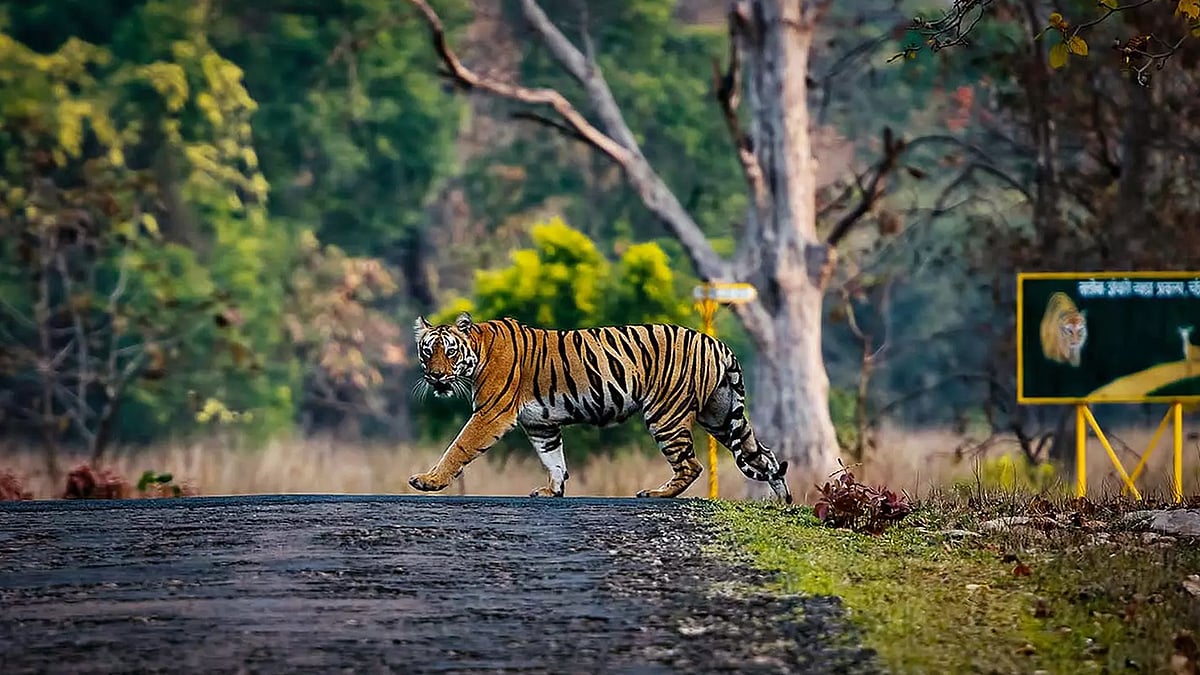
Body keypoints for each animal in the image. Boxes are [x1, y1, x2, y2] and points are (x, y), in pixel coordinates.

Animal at [408, 312, 792, 503]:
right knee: (765, 455)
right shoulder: (541, 425)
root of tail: (716, 342)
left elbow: (458, 447)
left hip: (666, 415)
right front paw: (553, 491)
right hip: (722, 415)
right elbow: (554, 459)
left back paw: (655, 494)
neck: (478, 352)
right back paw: (782, 500)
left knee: (691, 465)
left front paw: (428, 480)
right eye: (427, 351)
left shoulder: (491, 413)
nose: (435, 376)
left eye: (450, 351)